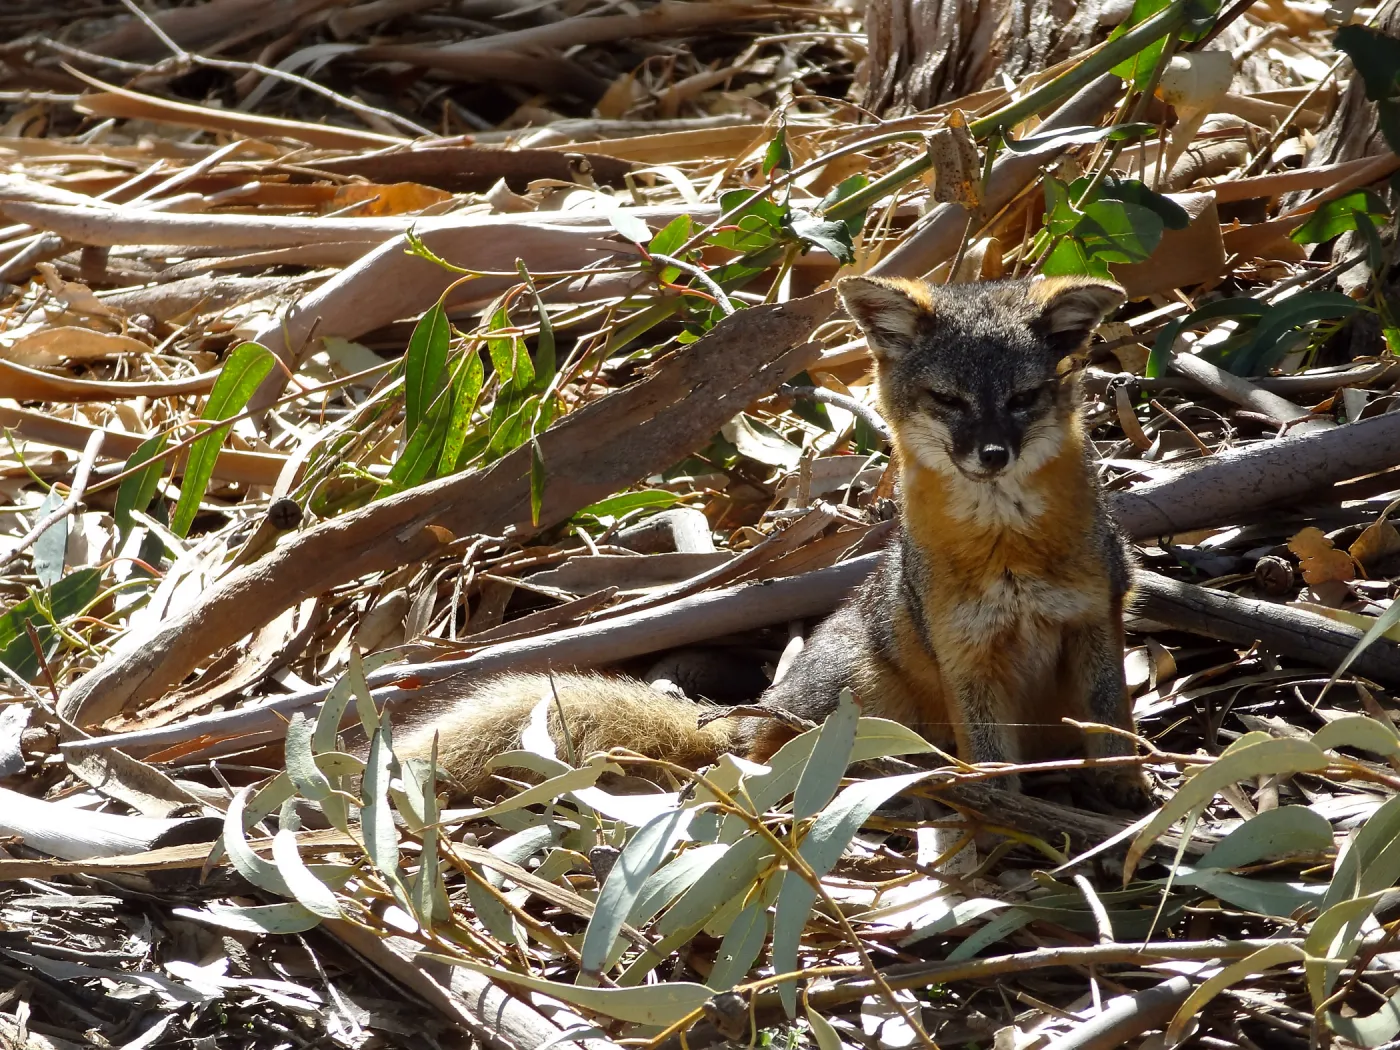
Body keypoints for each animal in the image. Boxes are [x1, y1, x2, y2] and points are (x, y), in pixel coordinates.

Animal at [396, 274, 1152, 812]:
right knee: (766, 752)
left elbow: (1112, 716)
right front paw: (1008, 819)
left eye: (1023, 398)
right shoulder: (968, 655)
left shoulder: (1094, 619)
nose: (992, 455)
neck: (1009, 548)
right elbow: (994, 763)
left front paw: (1126, 785)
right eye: (949, 401)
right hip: (857, 697)